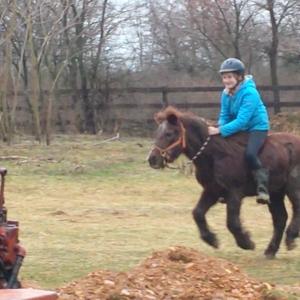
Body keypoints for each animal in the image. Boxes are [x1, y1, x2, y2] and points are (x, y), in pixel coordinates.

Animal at [148, 106, 300, 258]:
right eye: (157, 133)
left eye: (168, 133)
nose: (152, 159)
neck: (215, 155)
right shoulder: (211, 191)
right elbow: (197, 213)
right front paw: (211, 239)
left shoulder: (235, 193)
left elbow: (232, 222)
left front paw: (246, 242)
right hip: (275, 193)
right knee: (280, 218)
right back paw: (271, 250)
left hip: (292, 189)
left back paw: (291, 236)